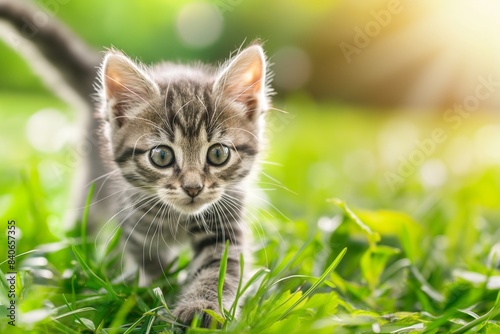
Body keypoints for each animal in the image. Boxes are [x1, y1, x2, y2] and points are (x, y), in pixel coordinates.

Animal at [0, 0, 272, 328]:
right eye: (162, 156)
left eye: (218, 154)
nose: (193, 188)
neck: (178, 219)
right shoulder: (135, 225)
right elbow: (152, 267)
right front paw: (158, 296)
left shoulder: (225, 221)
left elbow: (220, 268)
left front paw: (202, 309)